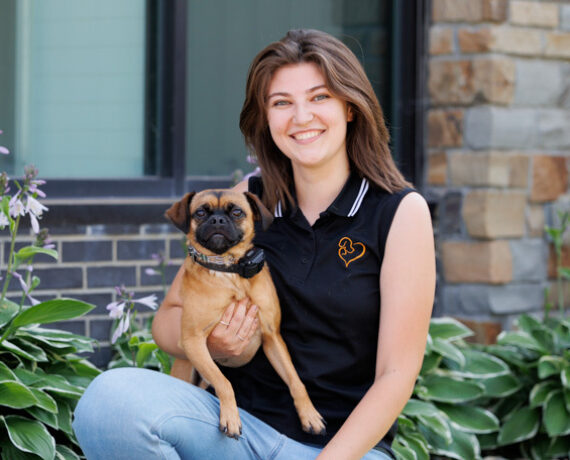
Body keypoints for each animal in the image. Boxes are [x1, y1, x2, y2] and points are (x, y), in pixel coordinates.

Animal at [165, 189, 326, 439]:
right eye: (200, 213)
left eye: (237, 212)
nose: (218, 220)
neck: (229, 271)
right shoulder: (193, 341)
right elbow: (223, 382)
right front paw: (231, 417)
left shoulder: (272, 337)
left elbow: (295, 380)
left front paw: (309, 415)